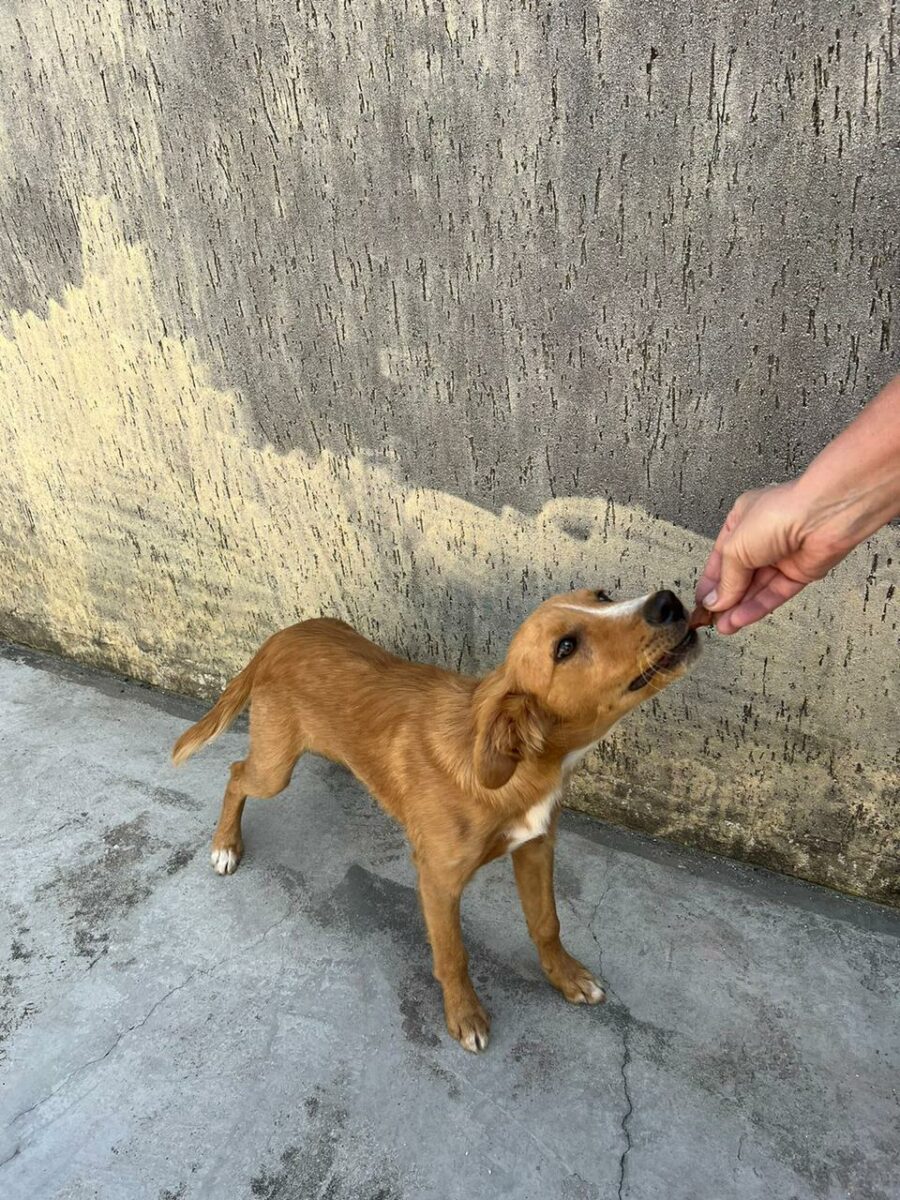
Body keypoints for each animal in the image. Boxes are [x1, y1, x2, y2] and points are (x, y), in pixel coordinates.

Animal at [172, 588, 700, 1051]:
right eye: (565, 647)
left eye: (603, 596)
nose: (669, 601)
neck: (521, 768)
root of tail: (281, 636)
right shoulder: (438, 879)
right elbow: (453, 955)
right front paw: (464, 1015)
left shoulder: (536, 846)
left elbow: (547, 923)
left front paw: (565, 976)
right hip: (274, 769)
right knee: (236, 773)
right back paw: (225, 845)